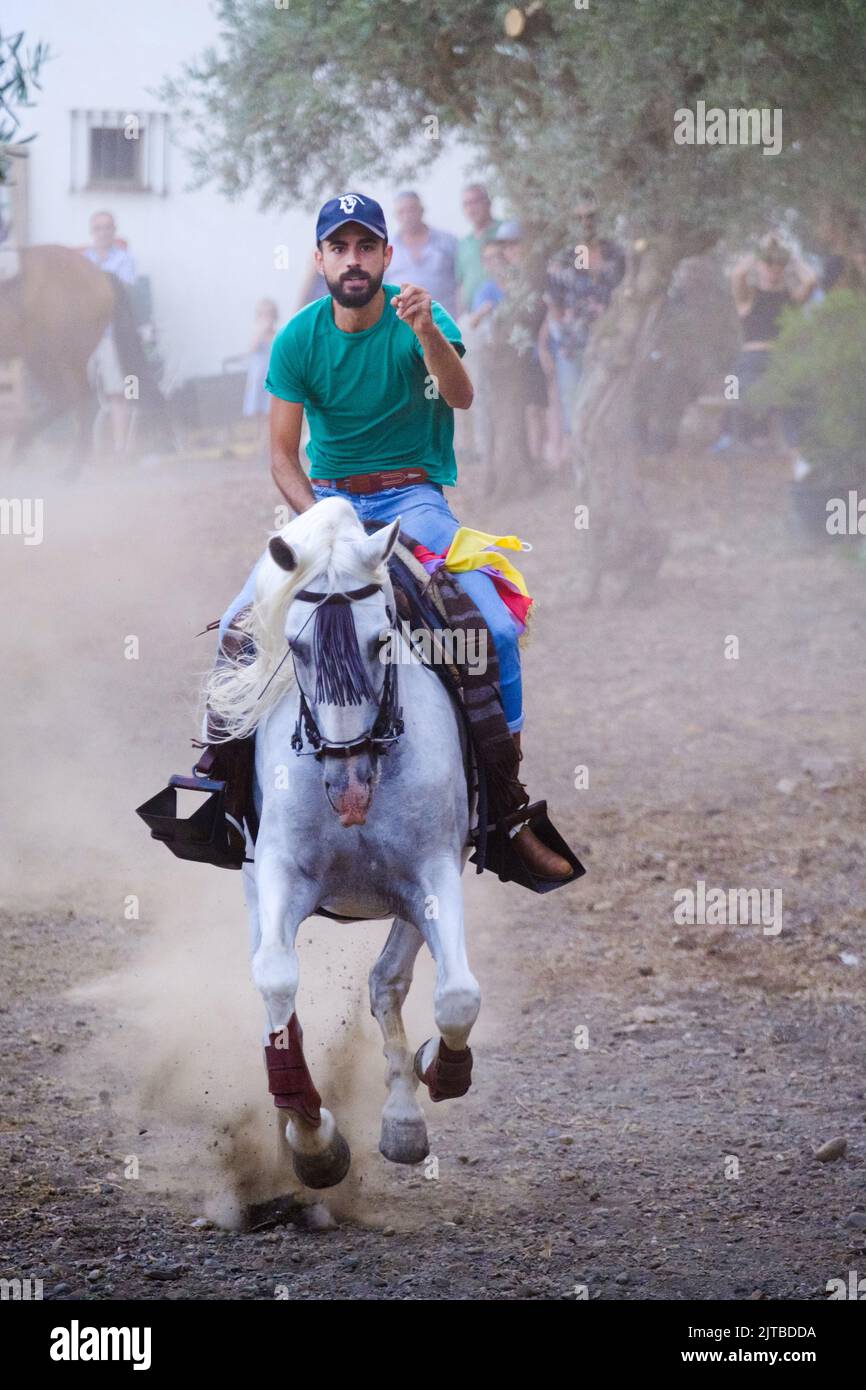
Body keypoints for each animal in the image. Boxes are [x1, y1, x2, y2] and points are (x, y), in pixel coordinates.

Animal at [208, 494, 480, 1189]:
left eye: (381, 639)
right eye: (296, 647)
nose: (349, 786)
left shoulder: (435, 871)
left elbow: (455, 996)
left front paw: (436, 1069)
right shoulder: (280, 872)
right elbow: (277, 982)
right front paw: (312, 1139)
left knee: (389, 981)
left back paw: (405, 1115)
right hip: (253, 882)